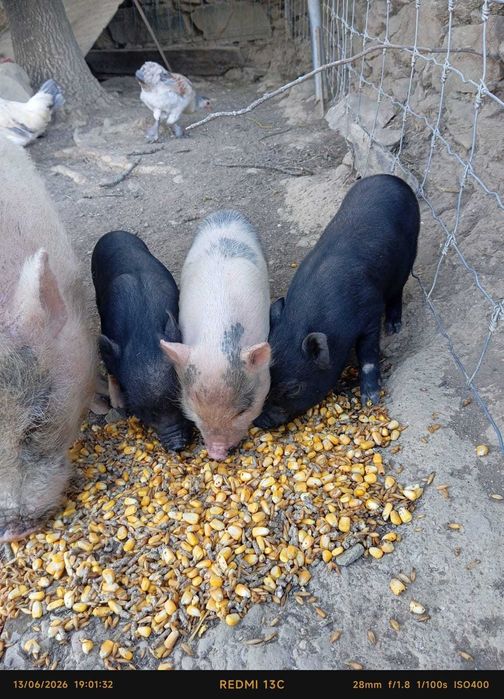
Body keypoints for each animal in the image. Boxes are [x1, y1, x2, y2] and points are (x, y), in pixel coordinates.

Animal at [91, 230, 192, 451]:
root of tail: (114, 233)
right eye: (146, 413)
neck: (143, 337)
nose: (177, 446)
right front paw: (120, 406)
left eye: (178, 401)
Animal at [255, 174, 420, 429]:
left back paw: (394, 328)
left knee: (397, 291)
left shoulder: (370, 313)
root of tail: (391, 178)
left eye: (293, 388)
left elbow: (368, 354)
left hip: (410, 251)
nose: (259, 422)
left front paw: (370, 399)